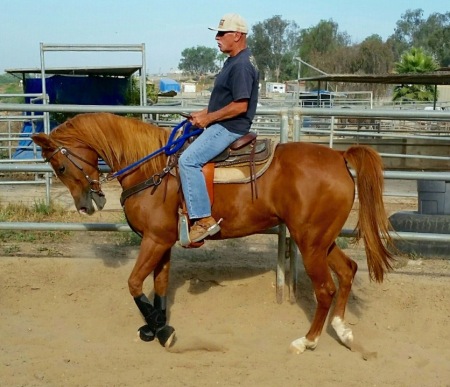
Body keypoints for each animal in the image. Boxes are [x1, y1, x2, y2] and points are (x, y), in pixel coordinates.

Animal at [33, 112, 396, 354]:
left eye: (60, 167)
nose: (86, 205)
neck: (153, 169)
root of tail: (339, 156)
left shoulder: (154, 240)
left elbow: (135, 283)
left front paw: (160, 330)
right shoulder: (162, 241)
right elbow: (160, 284)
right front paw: (158, 325)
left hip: (310, 243)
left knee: (325, 289)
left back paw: (306, 341)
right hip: (321, 241)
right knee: (348, 272)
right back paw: (342, 331)